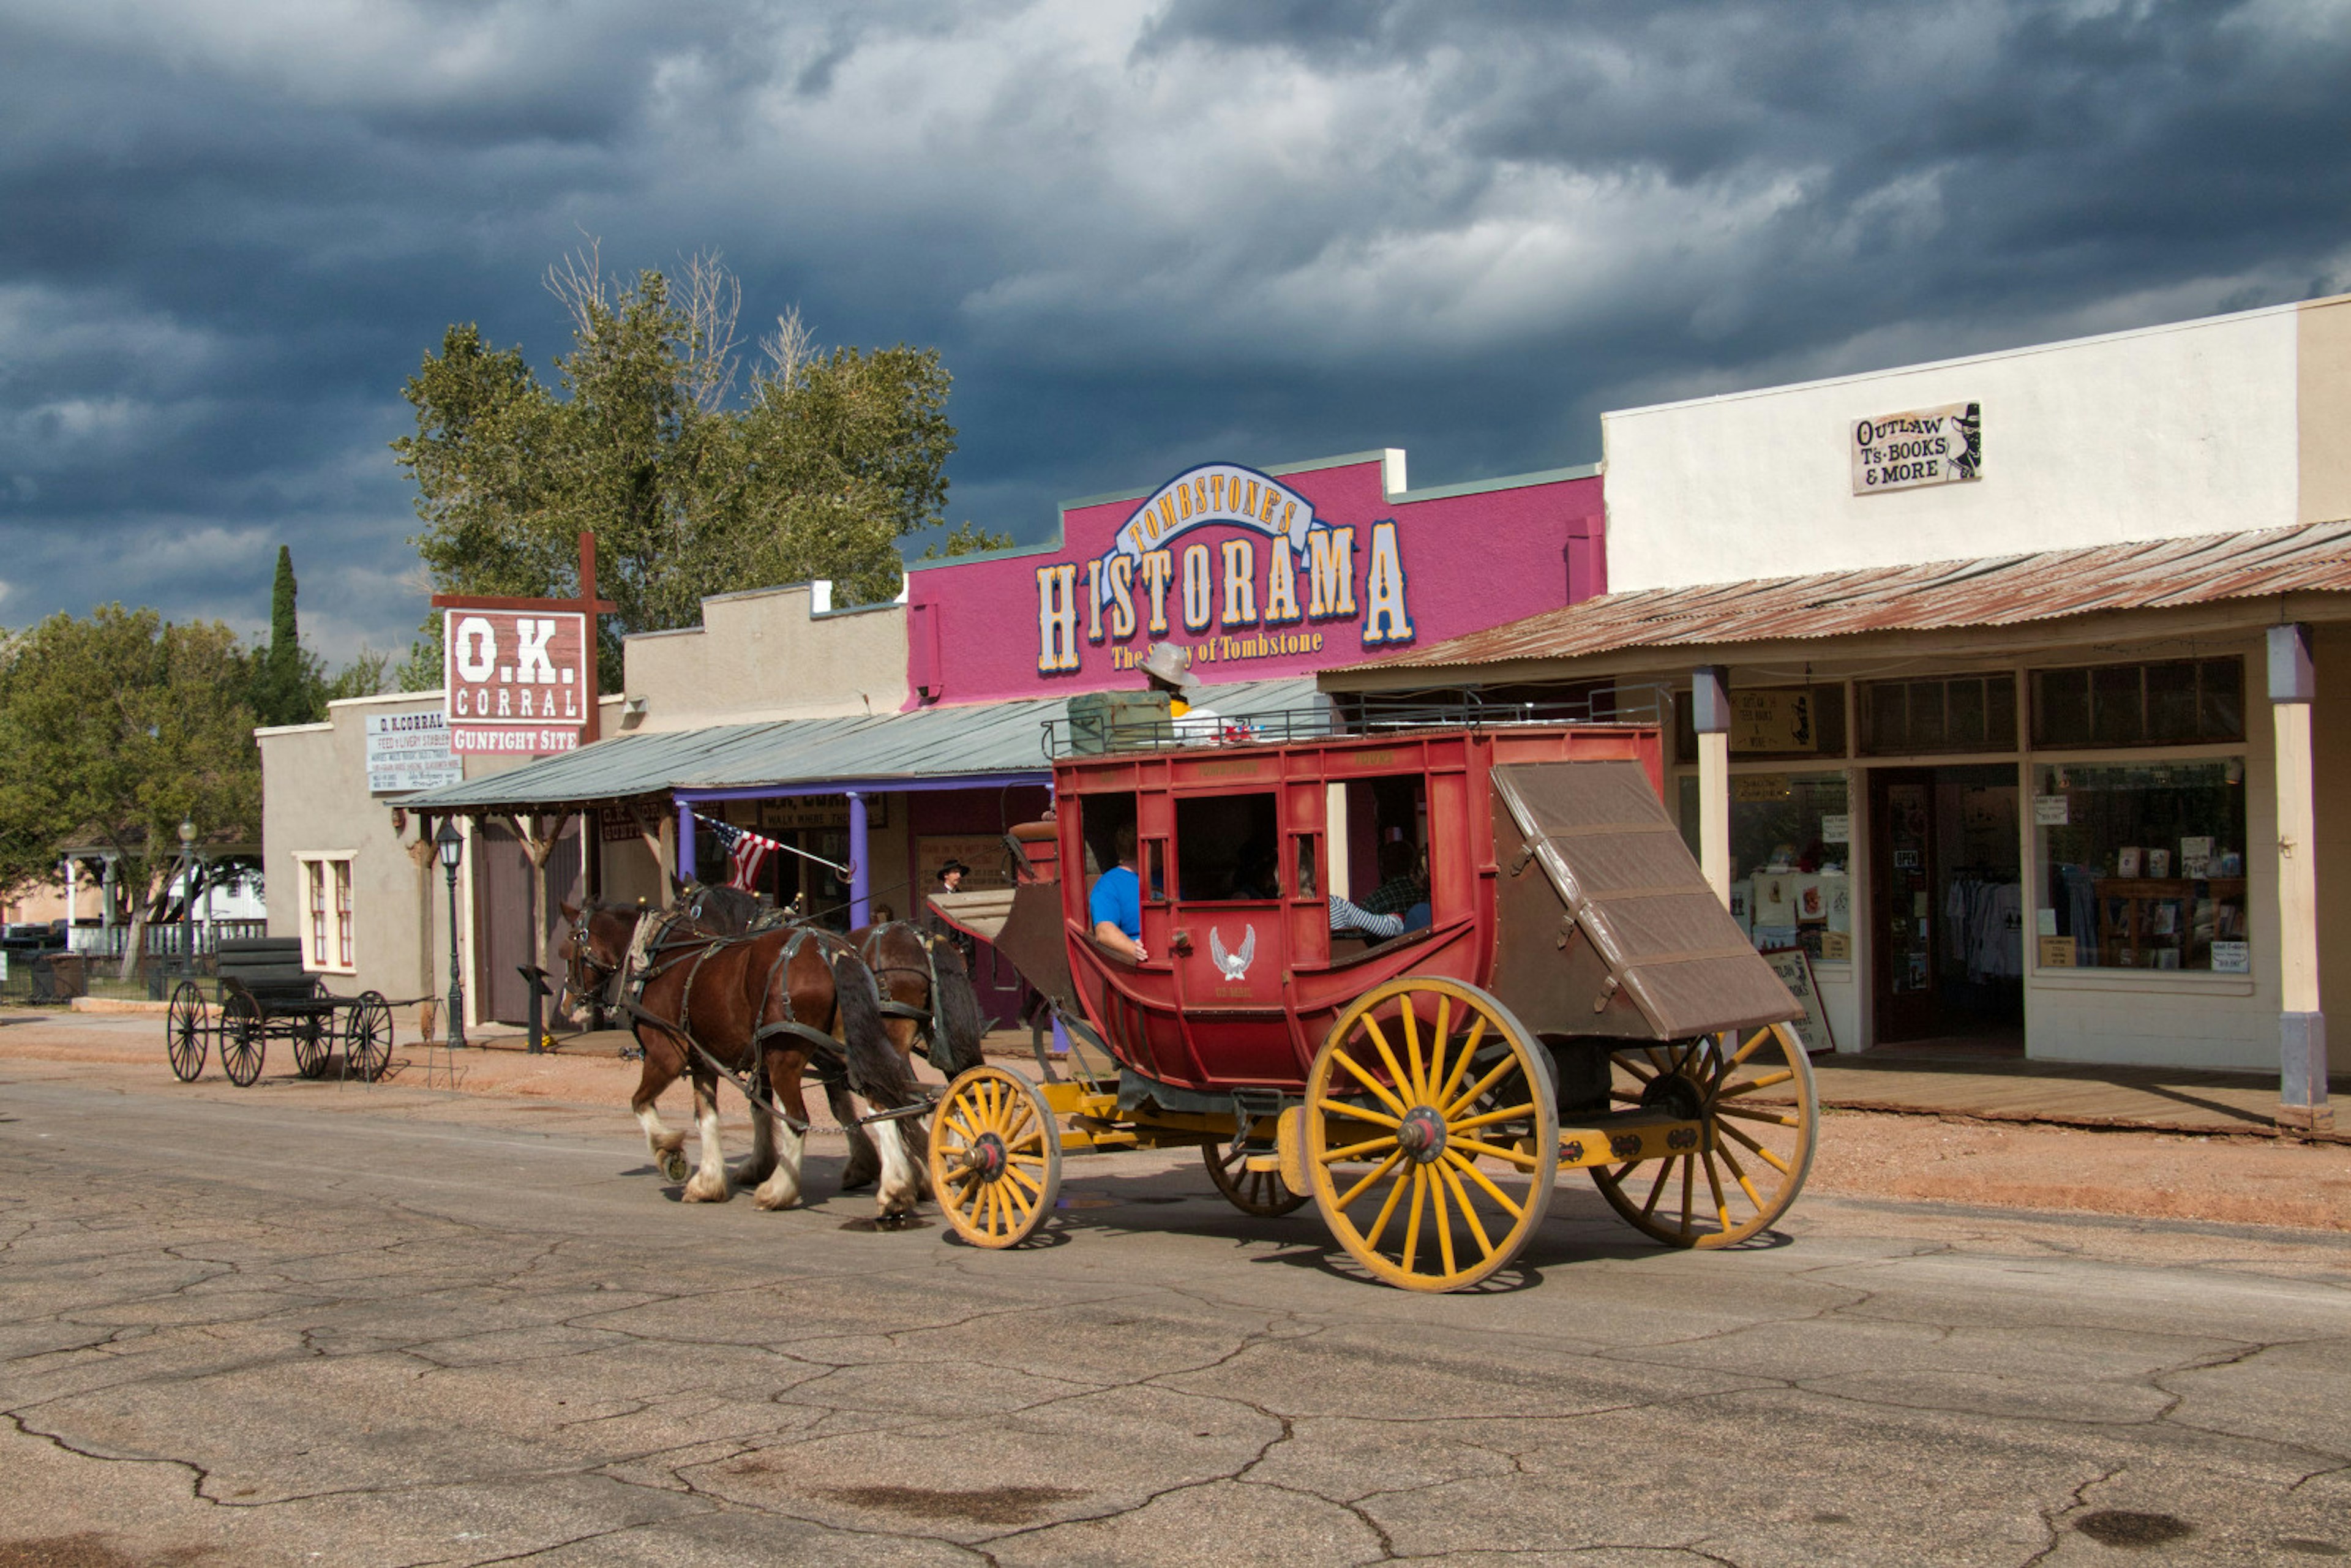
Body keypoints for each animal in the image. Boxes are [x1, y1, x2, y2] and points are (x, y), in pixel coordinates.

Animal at [555, 902, 921, 1222]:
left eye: (569, 947)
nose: (568, 1006)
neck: (664, 960)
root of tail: (833, 950)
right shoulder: (703, 1061)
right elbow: (708, 1118)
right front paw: (708, 1182)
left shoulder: (666, 1056)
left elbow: (641, 1103)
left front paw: (669, 1153)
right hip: (851, 1047)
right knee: (883, 1104)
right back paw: (896, 1192)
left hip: (785, 1056)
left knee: (798, 1120)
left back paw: (778, 1191)